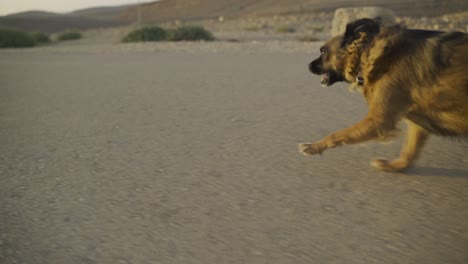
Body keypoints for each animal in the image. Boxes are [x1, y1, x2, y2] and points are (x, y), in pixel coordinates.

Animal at [300, 17, 468, 172]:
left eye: (323, 52)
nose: (307, 65)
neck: (366, 55)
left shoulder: (379, 121)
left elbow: (337, 134)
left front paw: (313, 146)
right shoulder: (416, 124)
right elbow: (409, 151)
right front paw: (394, 166)